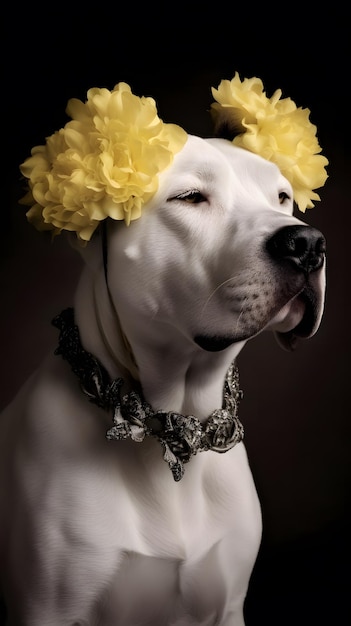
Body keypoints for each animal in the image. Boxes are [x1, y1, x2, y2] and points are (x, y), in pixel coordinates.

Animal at [0, 130, 328, 620]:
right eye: (190, 197)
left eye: (282, 197)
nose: (307, 243)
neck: (174, 416)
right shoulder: (47, 612)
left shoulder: (228, 605)